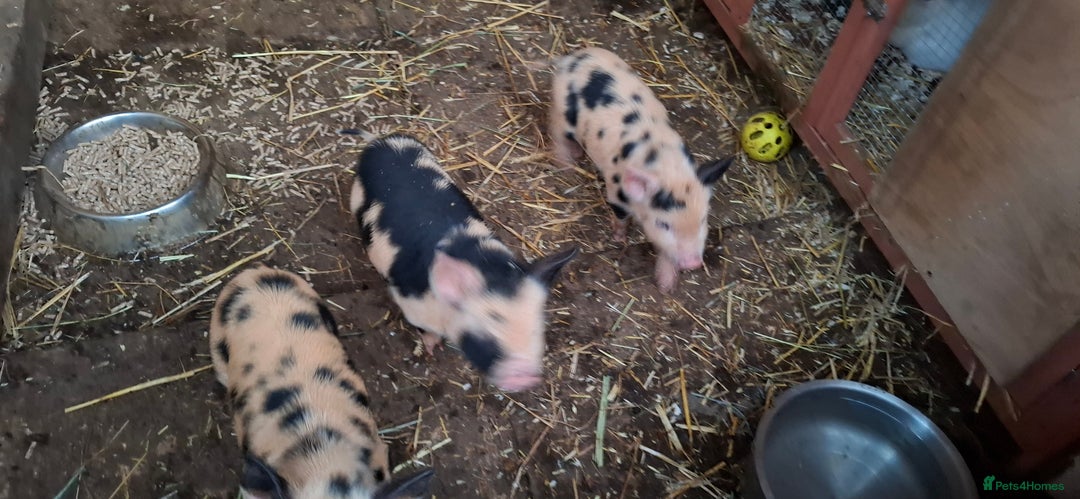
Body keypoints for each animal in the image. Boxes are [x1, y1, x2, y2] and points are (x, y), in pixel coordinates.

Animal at [349, 134, 578, 393]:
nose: (526, 376)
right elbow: (424, 328)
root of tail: (382, 140)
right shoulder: (410, 302)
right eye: (489, 328)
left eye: (537, 326)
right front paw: (433, 347)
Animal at [548, 47, 735, 293]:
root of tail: (570, 58)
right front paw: (619, 238)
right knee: (556, 132)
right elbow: (620, 217)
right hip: (562, 112)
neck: (668, 169)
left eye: (703, 218)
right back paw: (567, 165)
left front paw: (666, 286)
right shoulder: (615, 192)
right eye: (664, 224)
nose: (693, 264)